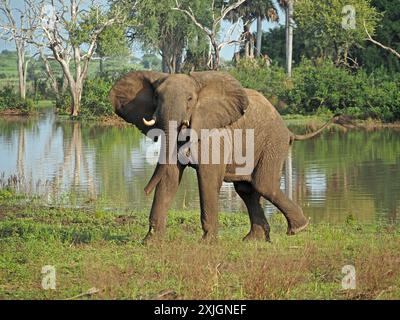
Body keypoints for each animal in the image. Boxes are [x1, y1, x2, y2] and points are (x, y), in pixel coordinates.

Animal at [108, 71, 334, 241]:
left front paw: (207, 243)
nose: (144, 191)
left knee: (263, 184)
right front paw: (150, 242)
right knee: (247, 190)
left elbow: (207, 176)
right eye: (156, 98)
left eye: (190, 99)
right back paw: (253, 240)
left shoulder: (214, 131)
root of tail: (288, 130)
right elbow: (169, 176)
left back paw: (298, 229)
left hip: (273, 141)